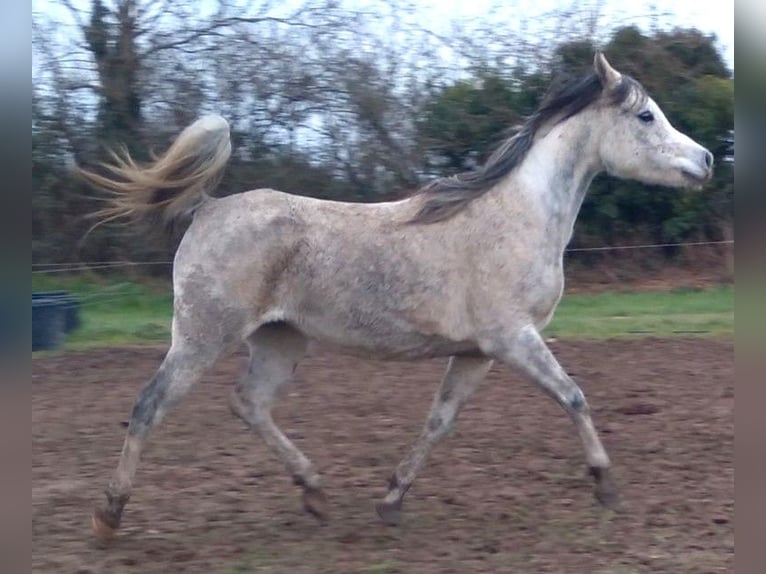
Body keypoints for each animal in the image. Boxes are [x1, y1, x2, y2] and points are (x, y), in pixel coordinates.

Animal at [78, 50, 712, 544]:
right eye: (645, 114)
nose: (705, 160)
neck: (519, 214)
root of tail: (207, 208)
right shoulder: (513, 339)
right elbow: (574, 397)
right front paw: (606, 487)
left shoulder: (477, 353)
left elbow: (439, 420)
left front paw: (391, 500)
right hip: (203, 336)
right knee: (149, 405)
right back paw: (108, 517)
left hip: (280, 340)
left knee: (249, 403)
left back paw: (315, 494)